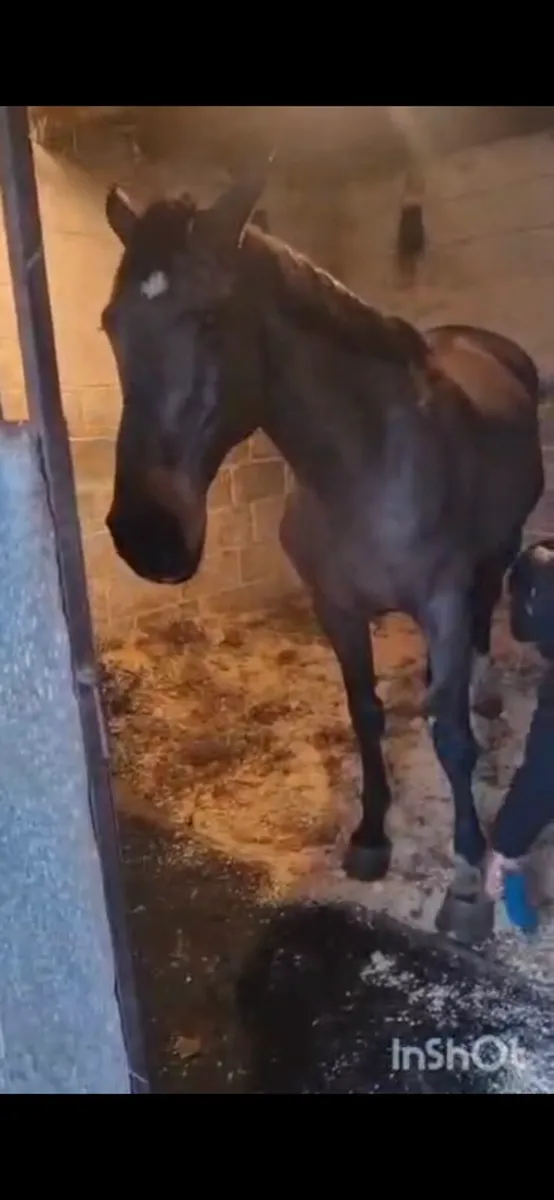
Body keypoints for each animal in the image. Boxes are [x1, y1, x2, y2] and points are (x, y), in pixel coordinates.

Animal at [100, 163, 545, 946]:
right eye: (110, 324)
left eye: (210, 319)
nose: (147, 537)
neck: (362, 467)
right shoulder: (336, 609)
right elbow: (365, 712)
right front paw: (370, 837)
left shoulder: (441, 598)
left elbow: (453, 738)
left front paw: (466, 878)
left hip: (499, 545)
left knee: (486, 612)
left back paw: (485, 690)